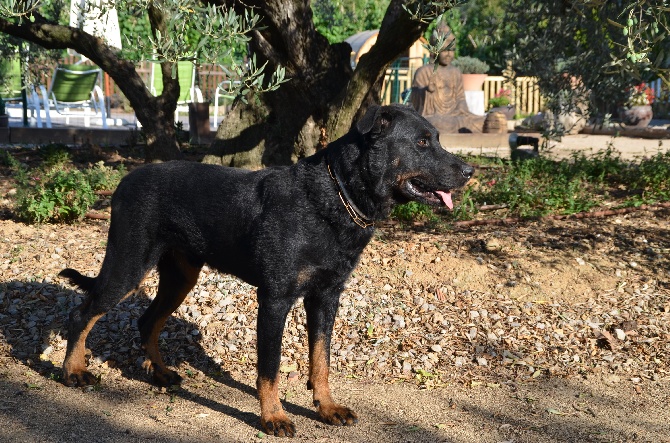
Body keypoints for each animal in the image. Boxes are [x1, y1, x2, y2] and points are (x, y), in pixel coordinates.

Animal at [60, 104, 476, 438]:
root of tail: (123, 182)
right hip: (128, 264)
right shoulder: (275, 299)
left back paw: (159, 373)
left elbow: (321, 359)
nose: (469, 171)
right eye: (421, 143)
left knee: (147, 320)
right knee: (85, 312)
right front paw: (273, 416)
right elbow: (270, 367)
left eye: (436, 139)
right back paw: (73, 372)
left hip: (181, 277)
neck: (333, 196)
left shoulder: (326, 297)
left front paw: (326, 407)